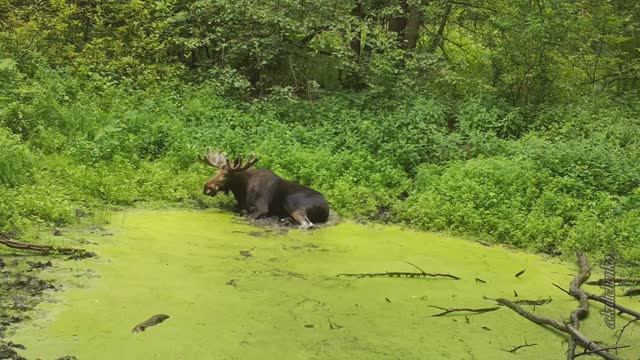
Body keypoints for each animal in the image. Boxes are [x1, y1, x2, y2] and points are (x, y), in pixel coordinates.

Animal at [200, 148, 330, 228]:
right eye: (216, 172)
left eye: (225, 176)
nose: (207, 188)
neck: (241, 192)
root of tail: (326, 208)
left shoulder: (261, 208)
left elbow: (247, 217)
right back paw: (285, 220)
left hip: (292, 203)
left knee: (307, 224)